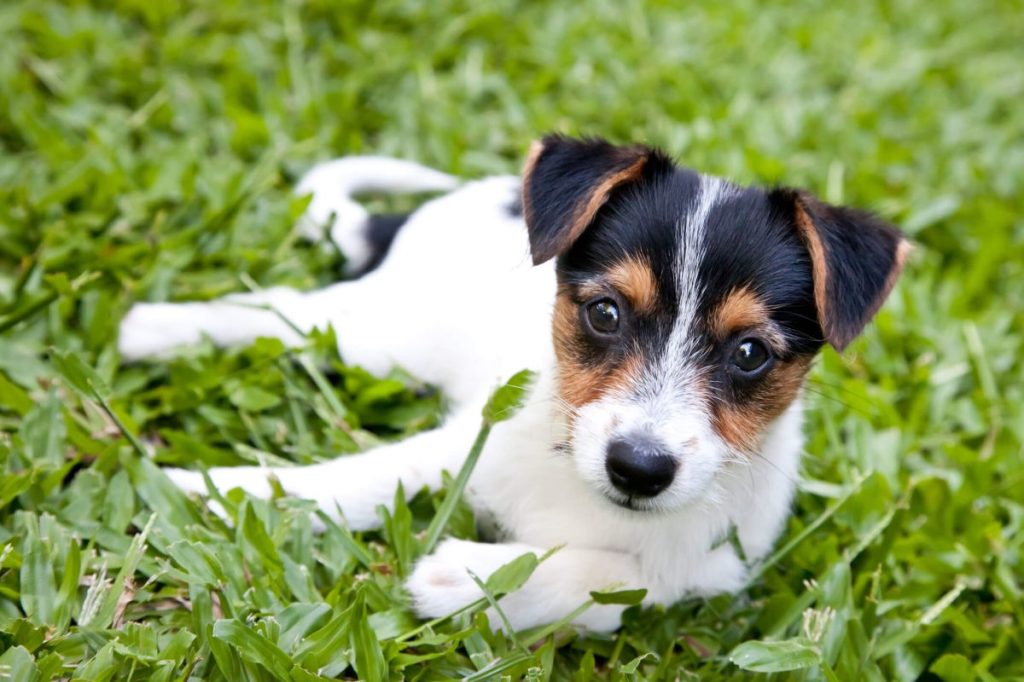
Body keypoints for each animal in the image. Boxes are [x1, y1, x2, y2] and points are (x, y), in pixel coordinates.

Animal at [116, 134, 909, 630]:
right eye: (605, 312)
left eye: (749, 354)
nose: (638, 468)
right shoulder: (467, 441)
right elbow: (356, 479)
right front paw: (206, 493)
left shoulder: (709, 568)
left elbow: (617, 583)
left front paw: (465, 579)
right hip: (382, 338)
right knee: (280, 312)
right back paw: (156, 327)